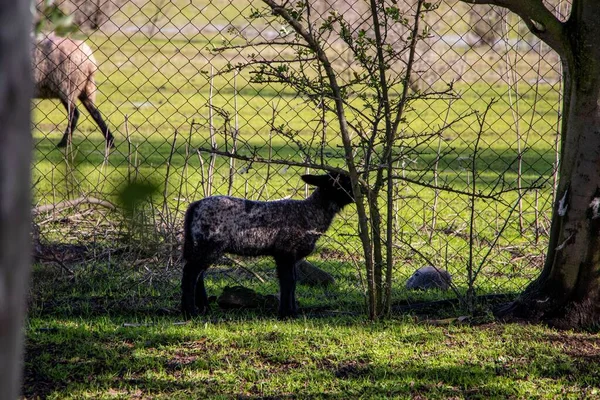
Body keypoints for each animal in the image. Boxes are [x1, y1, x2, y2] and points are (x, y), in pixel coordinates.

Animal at [180, 172, 354, 318]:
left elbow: (293, 282)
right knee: (190, 273)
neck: (309, 213)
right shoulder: (285, 252)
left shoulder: (291, 256)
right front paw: (286, 314)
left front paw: (292, 311)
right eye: (340, 183)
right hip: (209, 244)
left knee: (198, 274)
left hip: (201, 245)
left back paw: (203, 308)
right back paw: (190, 312)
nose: (357, 191)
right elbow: (288, 281)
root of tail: (195, 206)